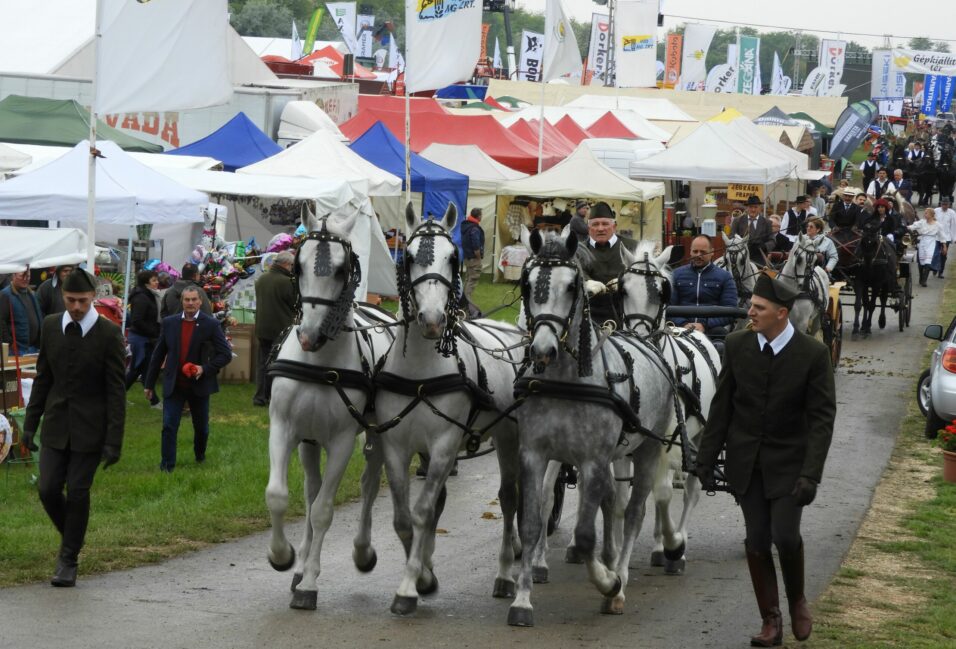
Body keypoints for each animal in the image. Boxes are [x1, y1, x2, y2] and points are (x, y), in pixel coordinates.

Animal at [508, 227, 680, 624]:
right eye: (526, 283)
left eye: (572, 286)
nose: (542, 350)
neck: (566, 381)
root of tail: (643, 341)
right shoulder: (535, 454)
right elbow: (532, 521)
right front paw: (522, 600)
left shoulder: (594, 460)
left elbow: (588, 535)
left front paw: (608, 582)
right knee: (613, 501)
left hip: (647, 450)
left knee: (633, 511)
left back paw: (622, 577)